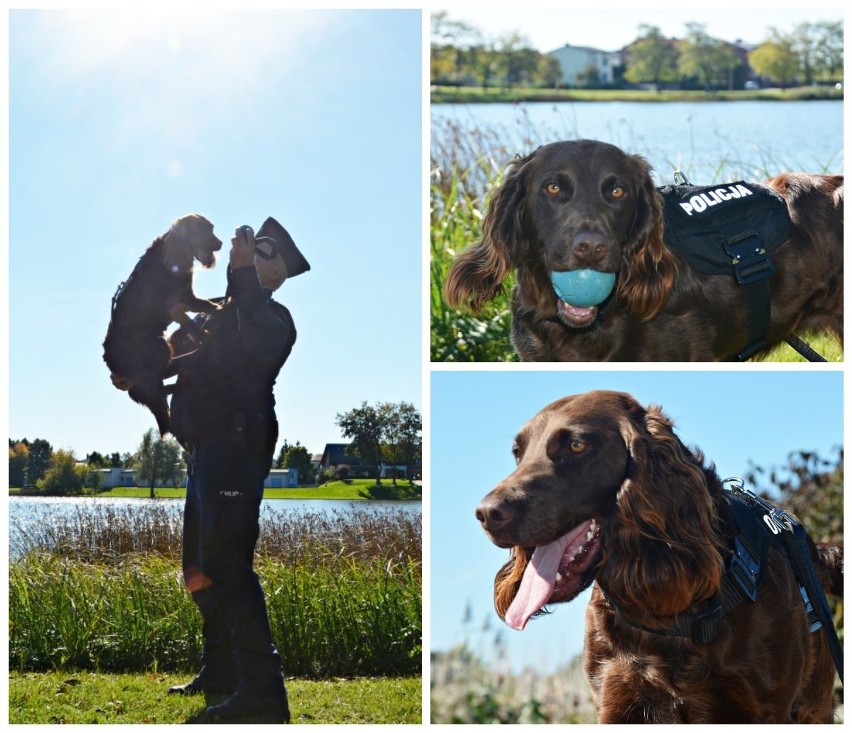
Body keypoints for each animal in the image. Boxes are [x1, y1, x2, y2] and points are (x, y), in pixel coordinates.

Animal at [102, 216, 223, 434]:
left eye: (212, 229)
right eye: (203, 230)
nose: (221, 243)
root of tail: (110, 361)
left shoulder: (189, 297)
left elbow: (208, 305)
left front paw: (221, 307)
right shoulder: (176, 305)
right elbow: (193, 324)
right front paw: (206, 336)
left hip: (158, 352)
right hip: (158, 347)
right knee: (154, 390)